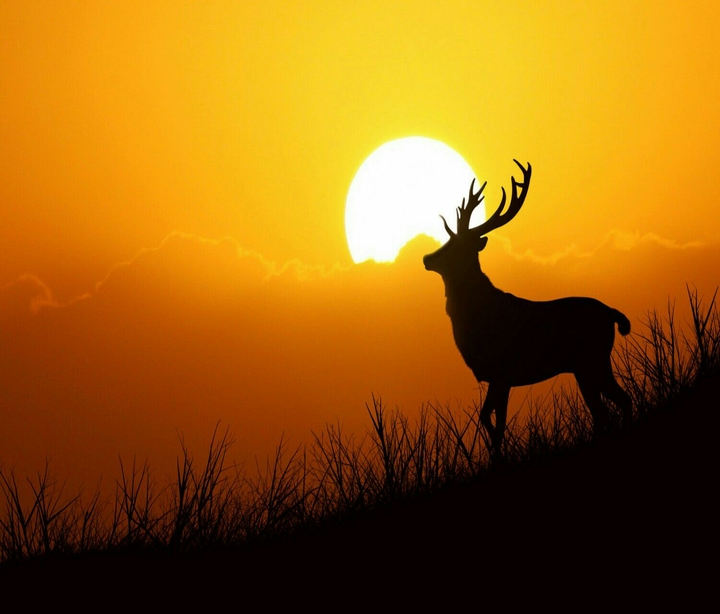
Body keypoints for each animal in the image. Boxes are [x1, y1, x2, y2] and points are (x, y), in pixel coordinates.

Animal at [423, 160, 632, 459]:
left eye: (455, 244)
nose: (427, 258)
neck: (475, 318)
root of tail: (613, 314)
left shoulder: (502, 372)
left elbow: (493, 421)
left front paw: (499, 456)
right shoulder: (500, 378)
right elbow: (491, 419)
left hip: (593, 359)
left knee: (616, 404)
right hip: (586, 366)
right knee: (608, 408)